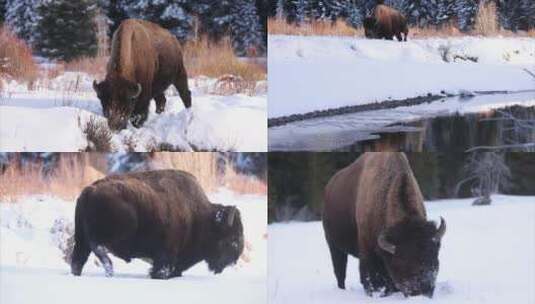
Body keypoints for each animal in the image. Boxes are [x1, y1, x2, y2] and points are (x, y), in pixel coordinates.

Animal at [70, 170, 244, 280]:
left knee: (78, 259)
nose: (234, 260)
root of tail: (90, 190)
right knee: (98, 247)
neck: (199, 216)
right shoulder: (165, 255)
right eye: (232, 238)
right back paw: (110, 270)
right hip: (114, 232)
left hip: (80, 238)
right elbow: (162, 270)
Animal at [324, 152, 446, 296]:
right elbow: (370, 278)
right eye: (402, 262)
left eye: (434, 255)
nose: (422, 290)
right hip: (333, 246)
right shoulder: (367, 251)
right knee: (340, 272)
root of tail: (329, 187)